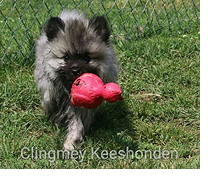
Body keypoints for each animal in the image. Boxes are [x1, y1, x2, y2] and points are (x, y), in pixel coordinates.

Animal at [34, 10, 118, 150]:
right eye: (66, 57)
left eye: (86, 58)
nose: (75, 70)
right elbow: (49, 98)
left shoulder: (81, 108)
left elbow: (77, 125)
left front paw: (70, 143)